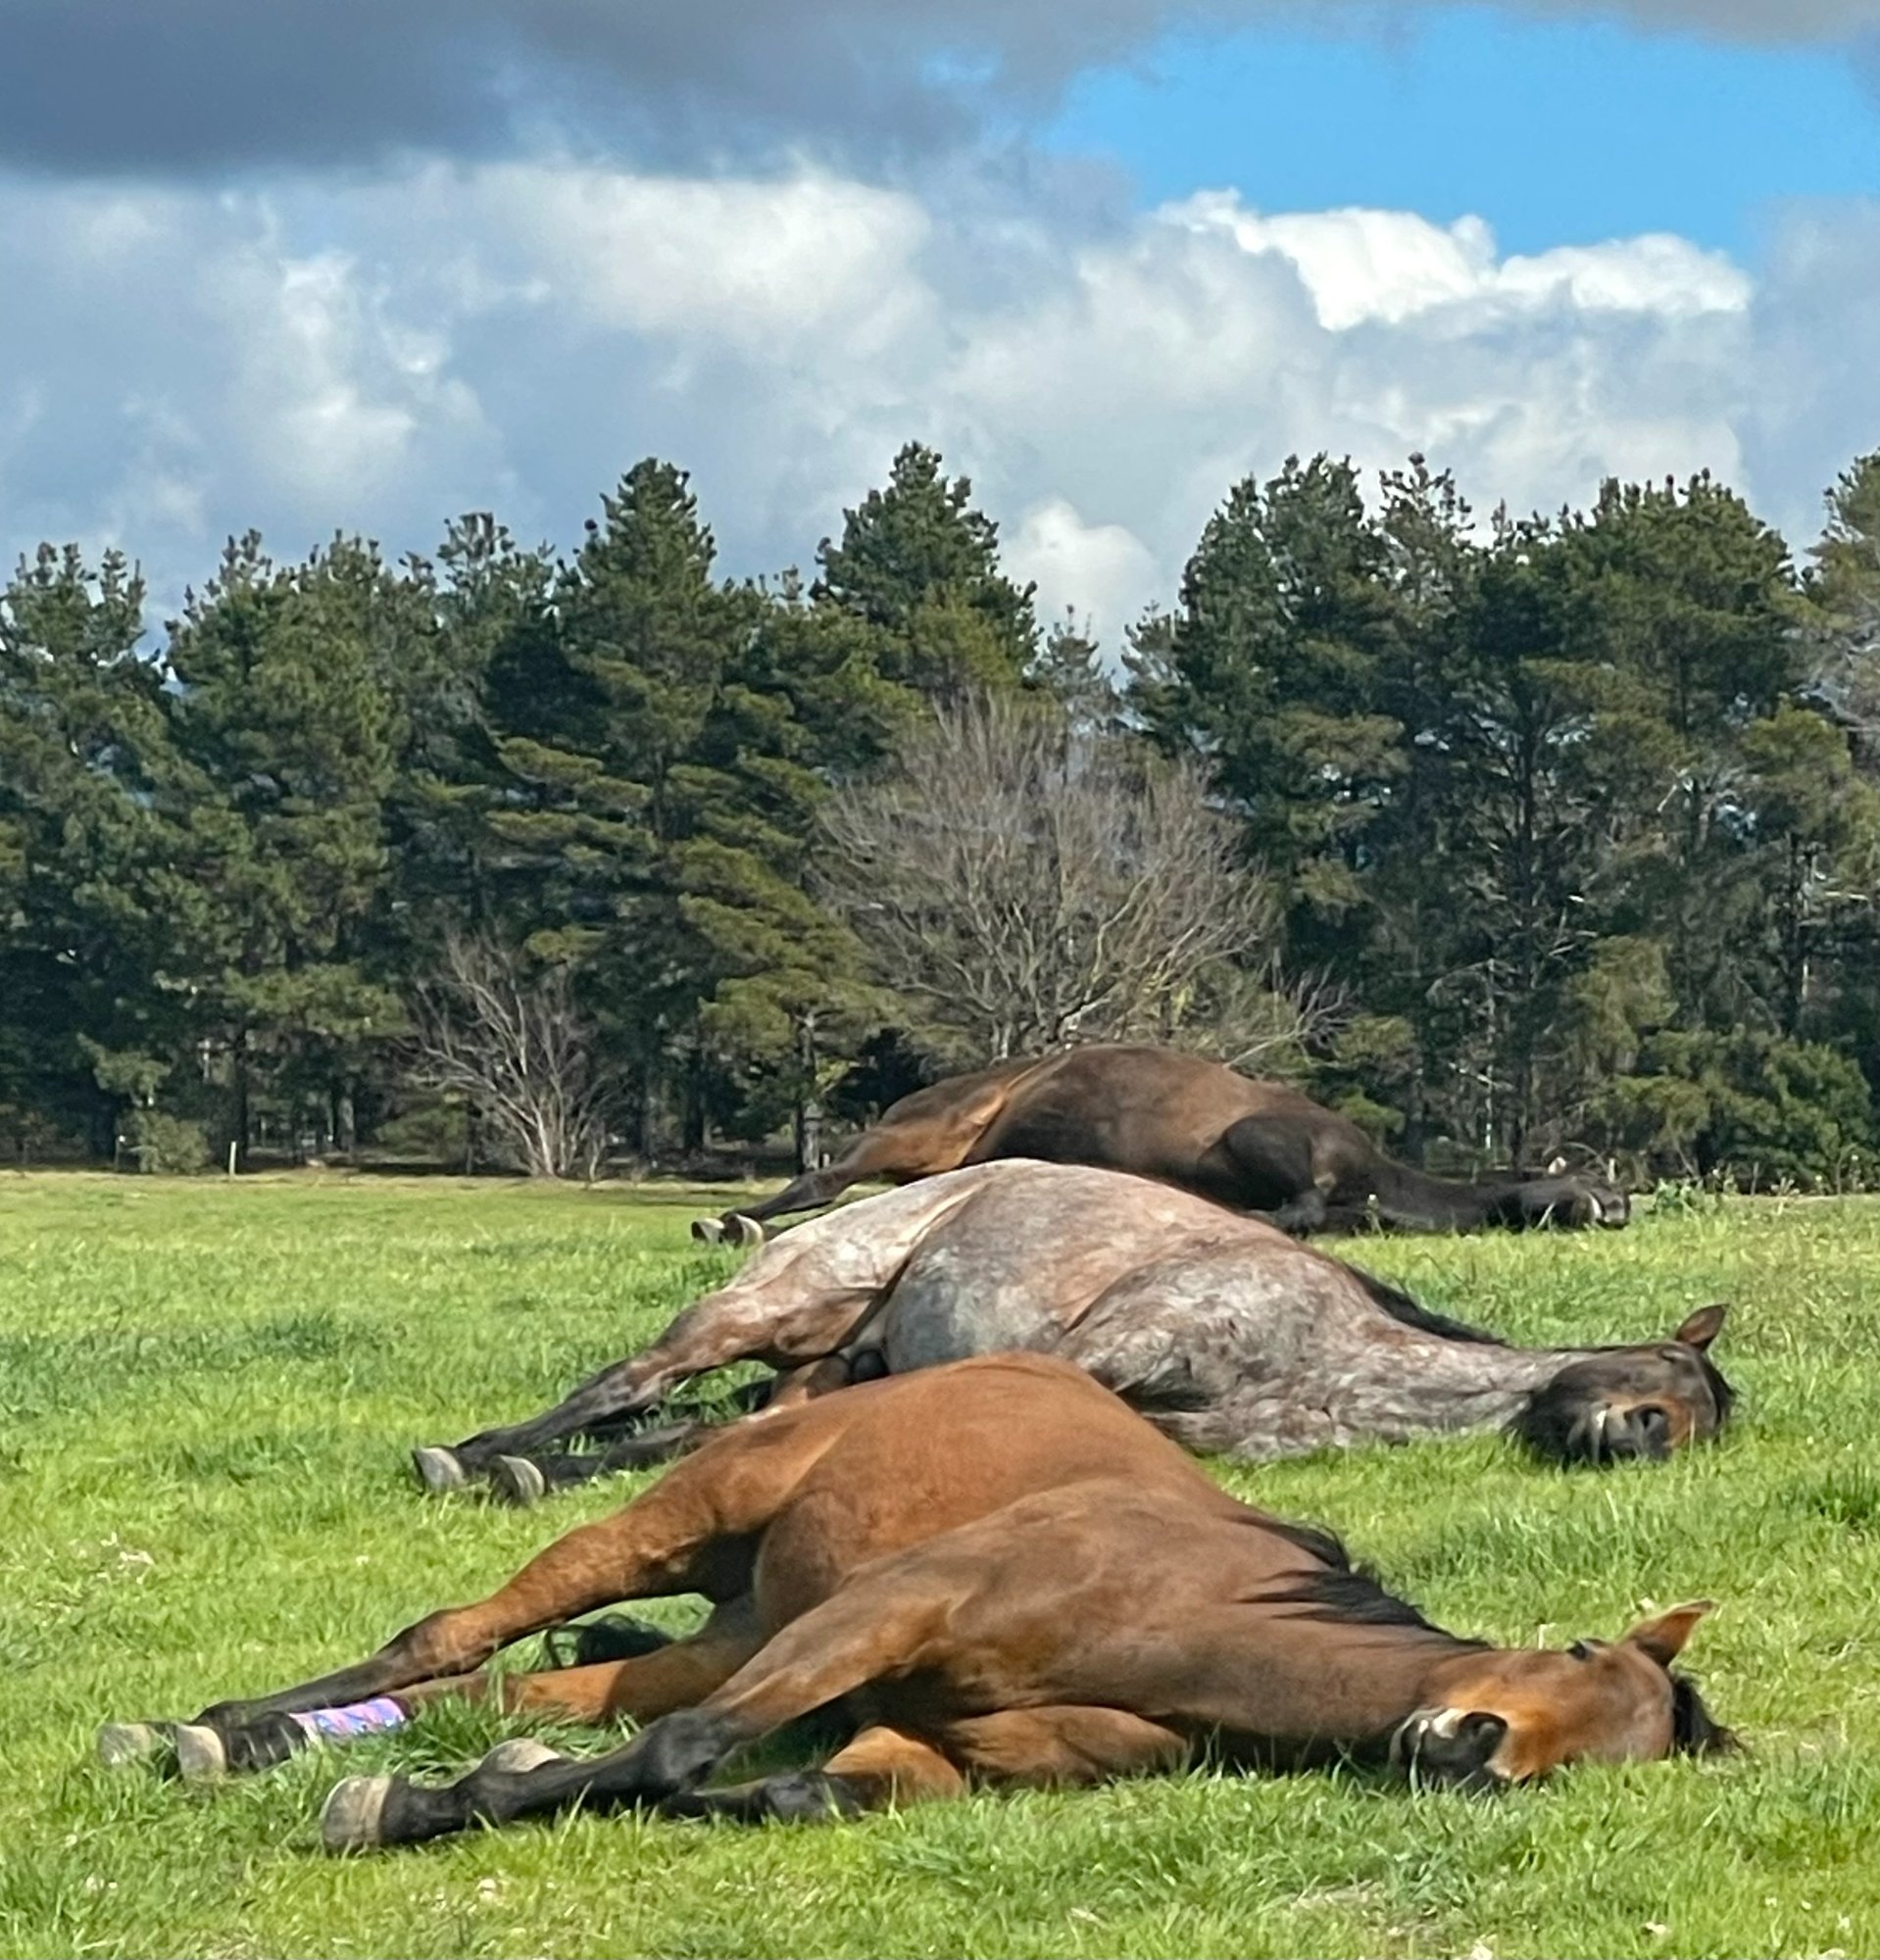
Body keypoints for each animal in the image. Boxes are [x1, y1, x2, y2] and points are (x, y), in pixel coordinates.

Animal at [98, 1354, 1734, 1854]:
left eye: (1604, 1754)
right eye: (1573, 1647)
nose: (1468, 1743)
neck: (1193, 1620)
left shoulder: (927, 1748)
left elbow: (776, 1789)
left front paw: (466, 1788)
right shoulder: (889, 1615)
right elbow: (683, 1761)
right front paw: (421, 1810)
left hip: (739, 1622)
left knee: (512, 1684)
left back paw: (269, 1747)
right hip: (681, 1525)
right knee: (454, 1634)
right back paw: (226, 1728)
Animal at [415, 1161, 1730, 1506]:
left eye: (1700, 1419)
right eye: (1663, 1373)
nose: (1636, 1441)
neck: (1332, 1360)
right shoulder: (1079, 1359)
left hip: (823, 1357)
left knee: (699, 1423)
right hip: (764, 1305)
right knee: (625, 1383)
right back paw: (481, 1453)